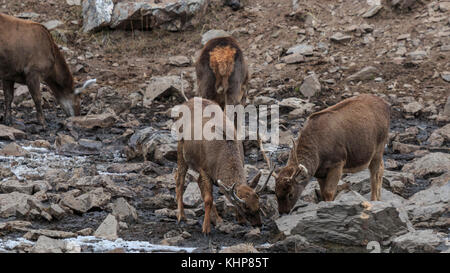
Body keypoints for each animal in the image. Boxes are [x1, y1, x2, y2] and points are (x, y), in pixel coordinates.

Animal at [173, 96, 274, 233]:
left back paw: (216, 219)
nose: (258, 224)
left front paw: (238, 220)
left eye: (259, 204)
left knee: (196, 181)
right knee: (179, 178)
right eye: (245, 207)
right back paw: (181, 216)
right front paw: (206, 229)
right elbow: (208, 199)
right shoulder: (205, 168)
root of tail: (188, 101)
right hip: (181, 145)